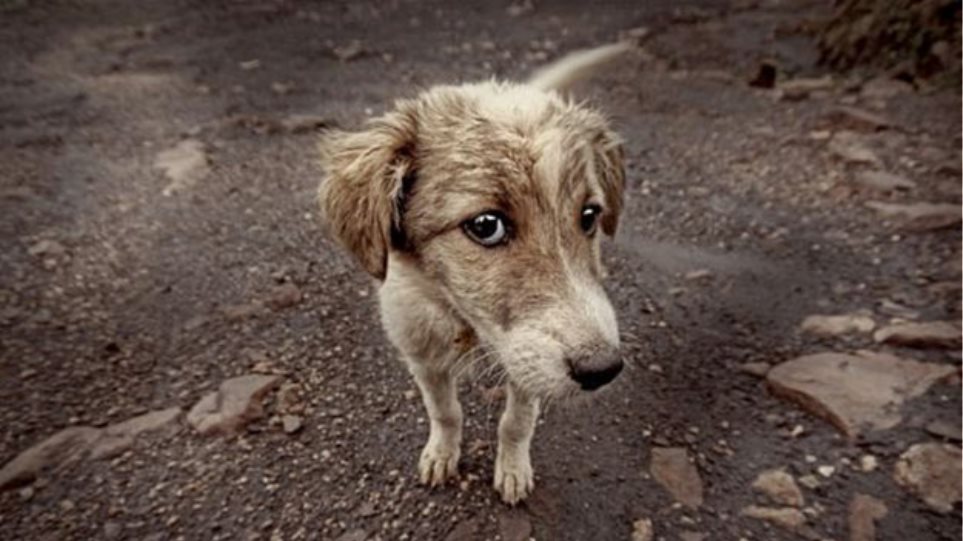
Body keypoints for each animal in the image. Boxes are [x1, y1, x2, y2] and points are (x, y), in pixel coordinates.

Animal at [318, 42, 632, 502]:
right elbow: (445, 411)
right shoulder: (422, 357)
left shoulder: (523, 364)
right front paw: (441, 455)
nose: (603, 370)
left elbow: (516, 422)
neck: (466, 324)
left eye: (589, 216)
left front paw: (512, 471)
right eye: (486, 226)